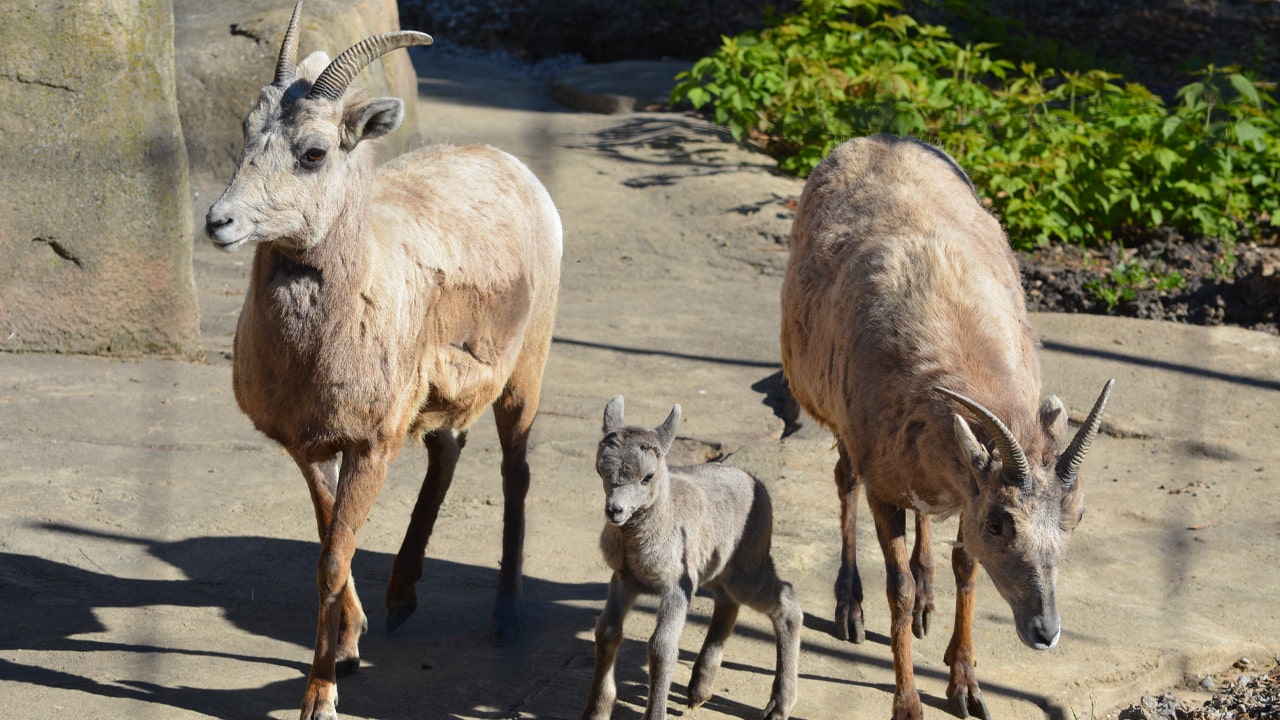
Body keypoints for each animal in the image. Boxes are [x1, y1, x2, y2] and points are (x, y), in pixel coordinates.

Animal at [202, 2, 562, 718]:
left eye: (314, 153)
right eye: (248, 129)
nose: (219, 222)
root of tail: (517, 169)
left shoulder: (370, 446)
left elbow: (332, 559)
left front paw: (322, 694)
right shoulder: (310, 446)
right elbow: (329, 543)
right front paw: (350, 646)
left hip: (524, 377)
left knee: (515, 474)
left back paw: (505, 621)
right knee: (447, 450)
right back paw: (401, 601)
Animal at [583, 396, 803, 720]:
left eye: (647, 477)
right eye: (600, 470)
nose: (615, 510)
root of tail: (758, 486)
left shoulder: (678, 586)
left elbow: (661, 648)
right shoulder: (624, 578)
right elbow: (607, 632)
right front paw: (596, 711)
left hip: (747, 571)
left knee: (786, 605)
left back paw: (778, 706)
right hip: (715, 573)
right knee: (727, 604)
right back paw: (699, 691)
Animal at [779, 135, 1113, 720]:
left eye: (1077, 516)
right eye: (1000, 523)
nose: (1044, 631)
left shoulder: (965, 486)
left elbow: (966, 568)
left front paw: (966, 689)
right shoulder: (883, 480)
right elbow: (897, 587)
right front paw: (908, 703)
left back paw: (929, 604)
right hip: (836, 422)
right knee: (844, 481)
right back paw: (850, 610)